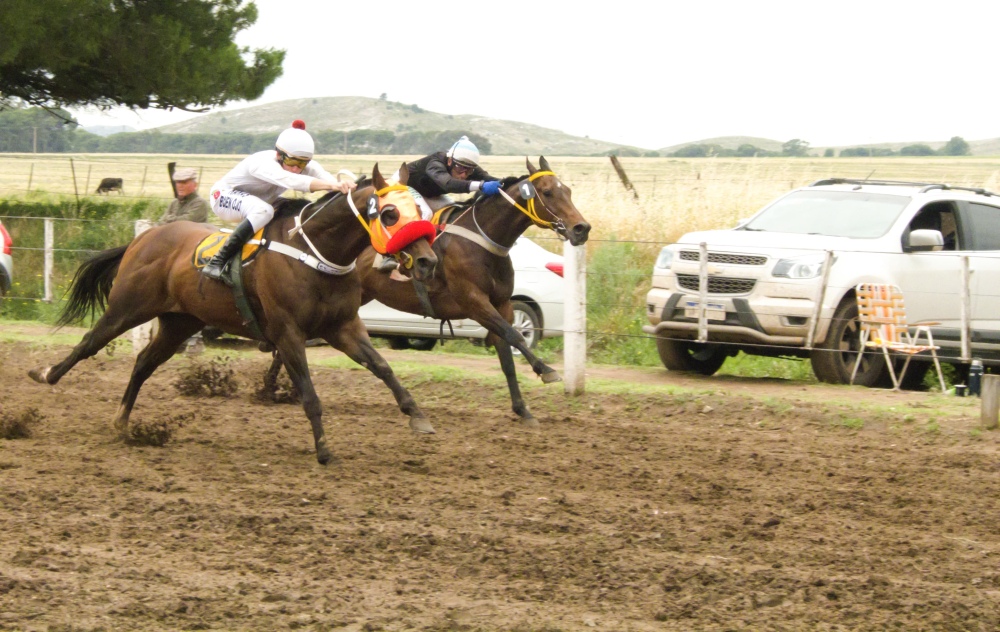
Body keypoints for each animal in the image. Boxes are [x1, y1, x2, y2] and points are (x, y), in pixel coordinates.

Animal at [30, 165, 438, 466]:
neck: (316, 251)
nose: (427, 261)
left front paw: (418, 417)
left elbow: (383, 368)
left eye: (422, 211)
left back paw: (121, 422)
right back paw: (46, 373)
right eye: (389, 213)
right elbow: (309, 393)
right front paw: (323, 449)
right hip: (127, 307)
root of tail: (143, 239)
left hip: (180, 322)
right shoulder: (288, 332)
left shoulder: (343, 327)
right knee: (89, 343)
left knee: (144, 363)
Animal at [266, 156, 588, 428]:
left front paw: (523, 410)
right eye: (547, 192)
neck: (482, 240)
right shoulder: (474, 302)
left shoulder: (502, 304)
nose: (581, 228)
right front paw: (546, 370)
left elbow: (507, 357)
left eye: (570, 191)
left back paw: (271, 387)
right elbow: (515, 336)